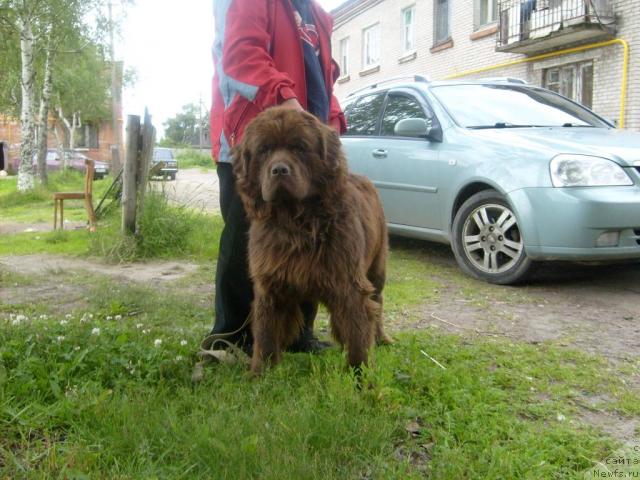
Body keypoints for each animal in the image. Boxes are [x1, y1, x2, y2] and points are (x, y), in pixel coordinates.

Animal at [231, 107, 390, 374]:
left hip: (377, 268)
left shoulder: (348, 284)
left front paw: (360, 378)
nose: (279, 170)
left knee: (377, 301)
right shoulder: (269, 284)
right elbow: (265, 333)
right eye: (264, 150)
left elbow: (358, 335)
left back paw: (381, 338)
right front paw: (260, 373)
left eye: (300, 148)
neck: (296, 223)